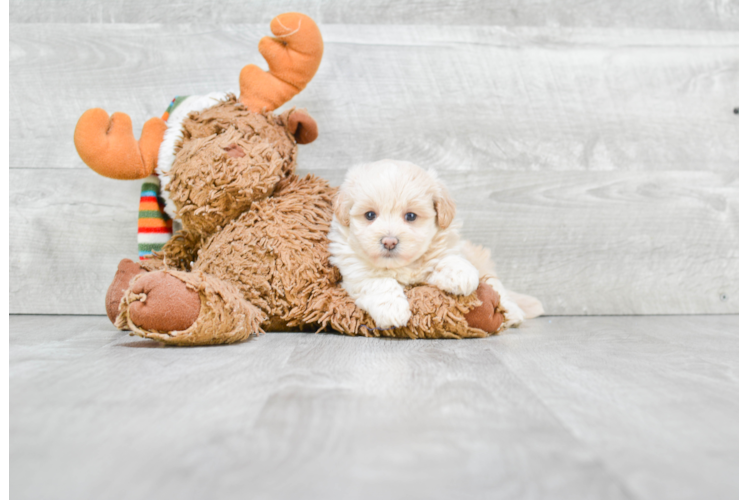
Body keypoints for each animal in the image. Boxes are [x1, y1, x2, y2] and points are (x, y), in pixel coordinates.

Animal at [328, 160, 544, 330]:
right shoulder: (356, 272)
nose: (389, 241)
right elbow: (379, 283)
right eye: (370, 215)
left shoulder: (446, 249)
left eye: (411, 216)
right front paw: (392, 309)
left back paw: (513, 312)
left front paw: (460, 274)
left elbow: (446, 259)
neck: (402, 266)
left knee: (498, 287)